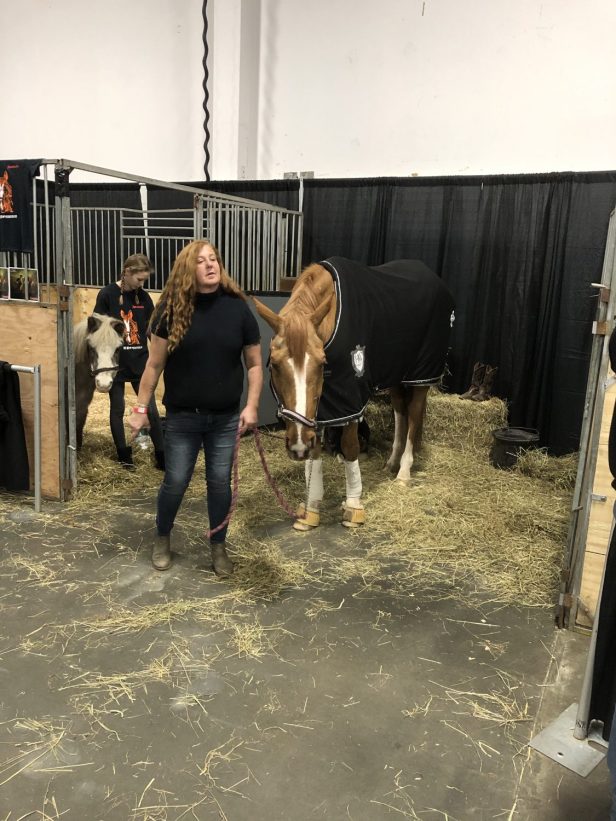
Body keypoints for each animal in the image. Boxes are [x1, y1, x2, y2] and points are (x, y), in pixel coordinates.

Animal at [253, 257, 454, 530]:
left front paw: (353, 506)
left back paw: (403, 473)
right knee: (400, 413)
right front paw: (311, 511)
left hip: (422, 374)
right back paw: (391, 463)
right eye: (274, 364)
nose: (297, 446)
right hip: (396, 374)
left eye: (321, 363)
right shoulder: (322, 407)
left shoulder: (348, 399)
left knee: (413, 416)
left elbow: (350, 447)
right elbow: (315, 453)